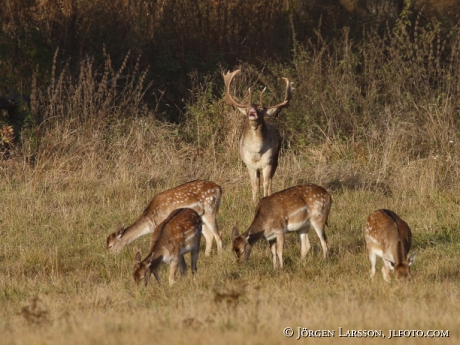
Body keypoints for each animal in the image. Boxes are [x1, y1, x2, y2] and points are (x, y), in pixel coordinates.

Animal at [224, 70, 294, 204]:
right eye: (247, 108)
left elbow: (266, 183)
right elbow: (254, 185)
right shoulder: (249, 164)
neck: (256, 152)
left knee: (270, 181)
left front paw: (265, 199)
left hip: (276, 158)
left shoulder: (268, 161)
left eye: (261, 109)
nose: (252, 110)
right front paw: (254, 202)